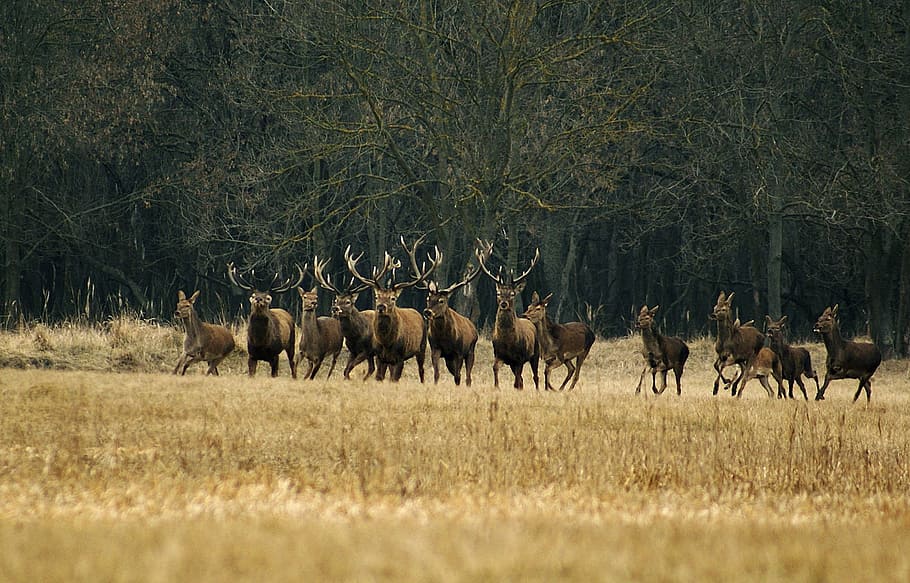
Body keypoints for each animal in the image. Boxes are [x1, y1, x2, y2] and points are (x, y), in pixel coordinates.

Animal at [345, 236, 440, 382]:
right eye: (377, 296)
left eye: (393, 298)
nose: (381, 307)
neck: (387, 343)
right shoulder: (379, 357)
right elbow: (379, 377)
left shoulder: (400, 357)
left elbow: (394, 378)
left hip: (422, 346)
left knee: (421, 370)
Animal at [417, 255, 481, 387]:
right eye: (428, 298)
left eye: (441, 300)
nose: (427, 312)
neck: (445, 338)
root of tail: (473, 327)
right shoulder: (435, 349)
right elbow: (436, 374)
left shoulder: (459, 352)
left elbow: (457, 376)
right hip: (449, 359)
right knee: (460, 375)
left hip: (471, 350)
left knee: (467, 377)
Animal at [475, 239, 540, 390]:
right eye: (499, 293)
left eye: (512, 294)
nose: (504, 304)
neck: (508, 341)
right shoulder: (499, 355)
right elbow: (495, 368)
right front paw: (496, 387)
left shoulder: (520, 358)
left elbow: (517, 380)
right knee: (522, 379)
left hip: (536, 353)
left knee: (535, 376)